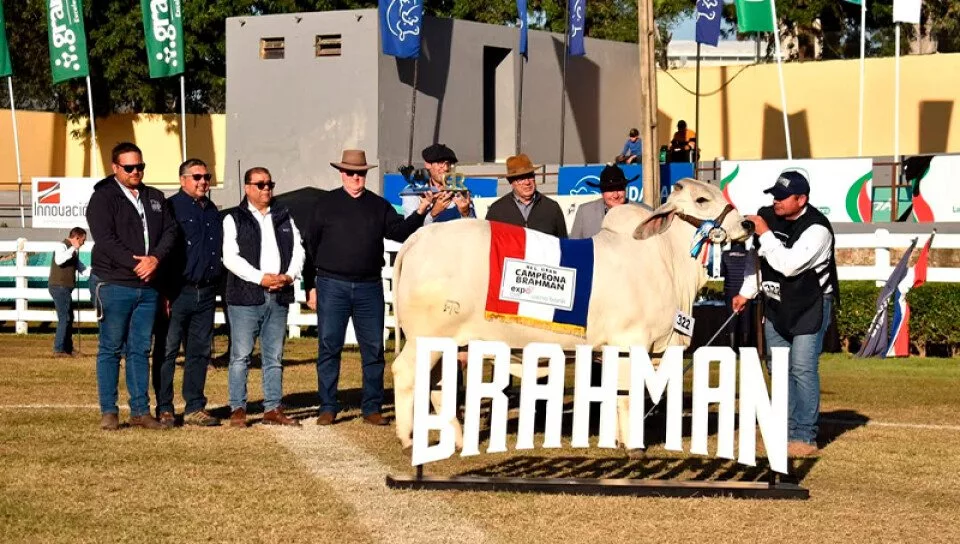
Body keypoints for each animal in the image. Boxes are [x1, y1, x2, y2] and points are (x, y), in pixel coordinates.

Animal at [390, 179, 752, 450]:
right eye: (702, 199)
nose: (747, 223)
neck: (666, 260)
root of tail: (418, 237)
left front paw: (616, 440)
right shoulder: (631, 342)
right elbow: (628, 396)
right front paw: (633, 445)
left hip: (448, 344)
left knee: (437, 385)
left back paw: (457, 441)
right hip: (427, 338)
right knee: (405, 374)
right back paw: (408, 438)